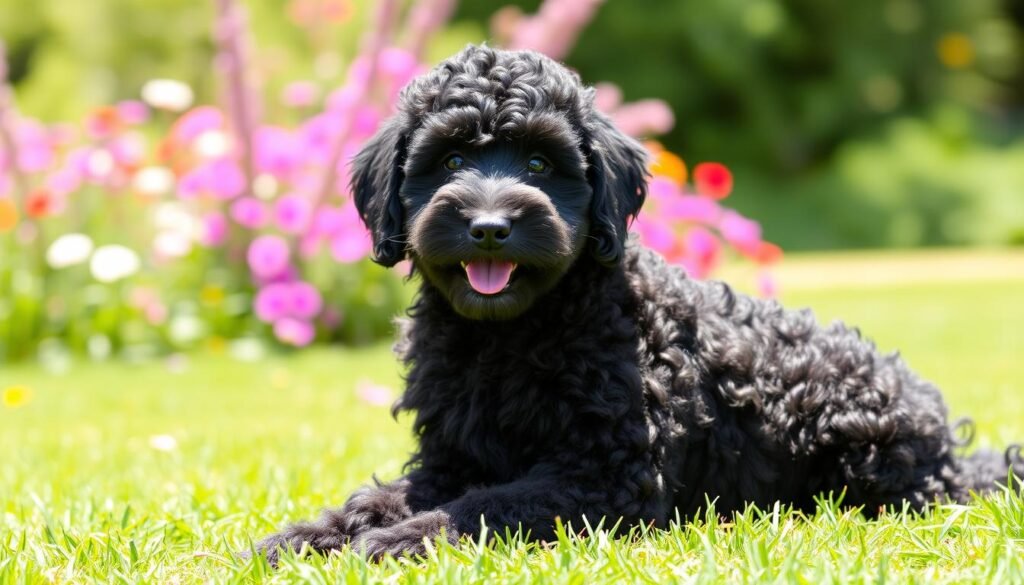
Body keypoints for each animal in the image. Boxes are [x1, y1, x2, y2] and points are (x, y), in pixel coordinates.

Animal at [251, 45, 1019, 561]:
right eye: (449, 162)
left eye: (540, 164)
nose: (490, 226)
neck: (508, 335)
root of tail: (950, 448)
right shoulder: (451, 457)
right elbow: (377, 497)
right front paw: (306, 534)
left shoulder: (606, 477)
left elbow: (485, 506)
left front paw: (397, 540)